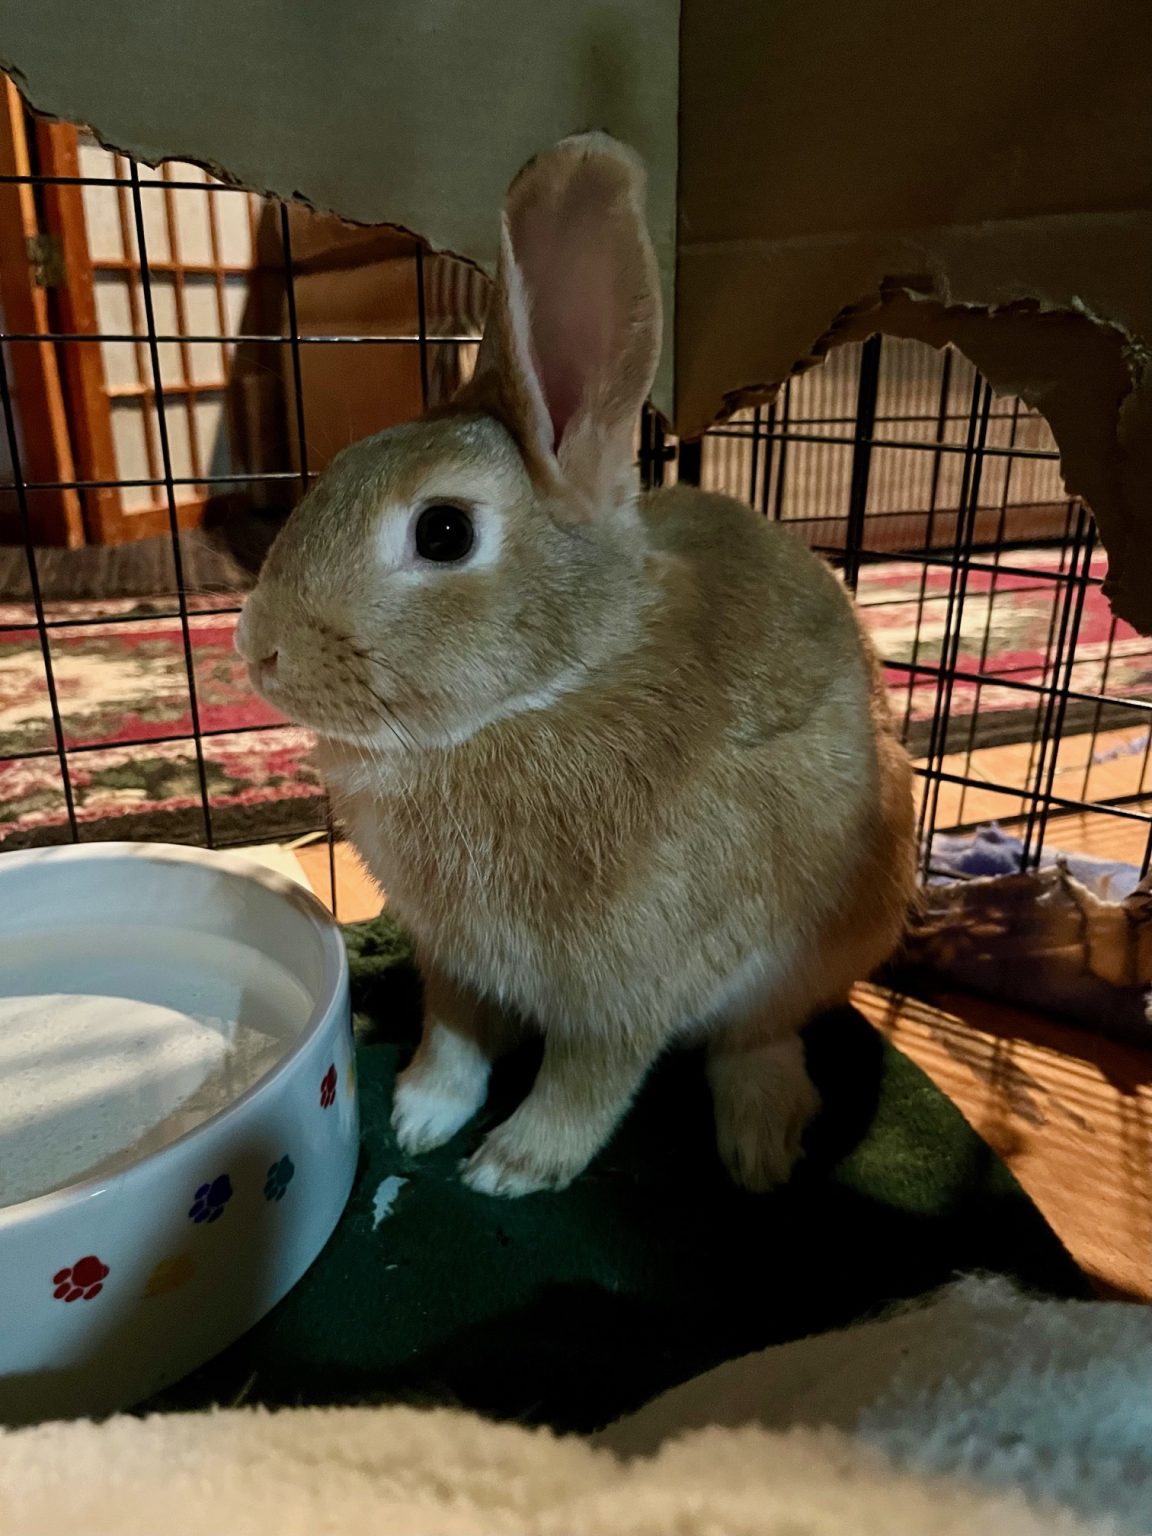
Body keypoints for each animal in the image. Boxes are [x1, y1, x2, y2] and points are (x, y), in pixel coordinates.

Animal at [235, 132, 918, 1198]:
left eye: (443, 532)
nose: (257, 648)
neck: (541, 693)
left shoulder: (629, 985)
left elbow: (590, 1076)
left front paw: (512, 1165)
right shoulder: (452, 958)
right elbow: (455, 1035)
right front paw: (423, 1115)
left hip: (827, 937)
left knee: (757, 1036)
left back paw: (760, 1146)